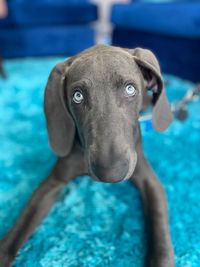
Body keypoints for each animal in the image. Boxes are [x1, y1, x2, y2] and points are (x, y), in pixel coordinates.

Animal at [0, 45, 174, 266]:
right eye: (77, 96)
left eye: (130, 89)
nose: (111, 173)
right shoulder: (53, 182)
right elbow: (21, 226)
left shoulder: (148, 178)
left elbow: (159, 225)